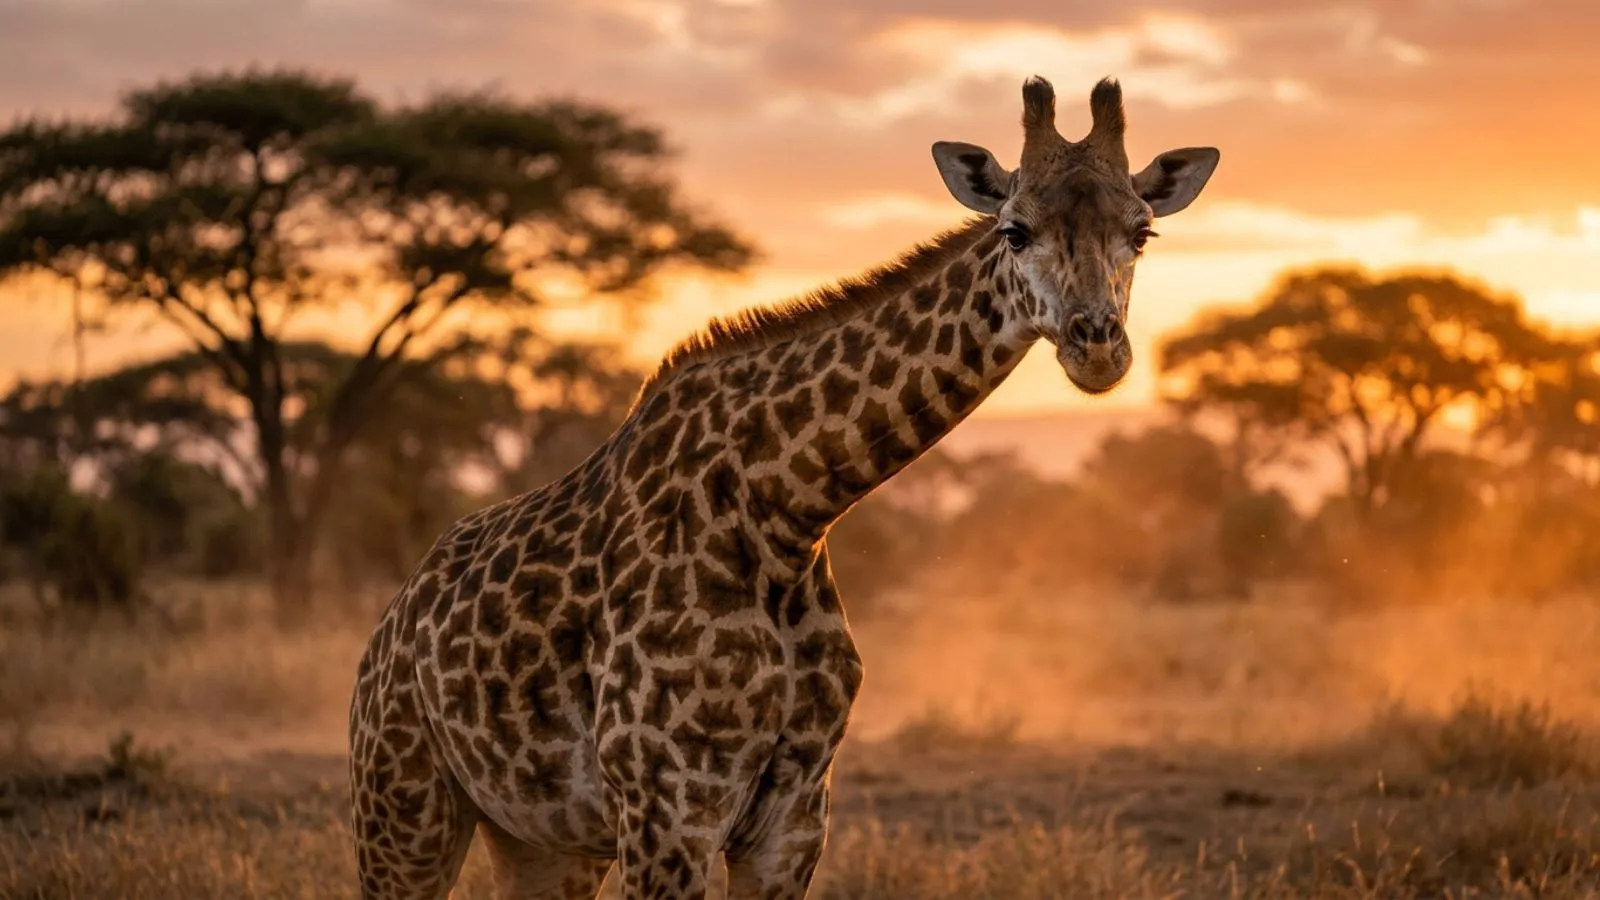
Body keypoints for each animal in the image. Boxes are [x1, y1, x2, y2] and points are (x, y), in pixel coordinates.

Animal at [348, 74, 1218, 900]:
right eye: (1015, 229)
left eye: (1141, 231)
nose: (1097, 346)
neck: (785, 513)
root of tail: (389, 627)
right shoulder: (668, 808)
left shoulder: (793, 817)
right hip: (402, 804)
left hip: (541, 839)